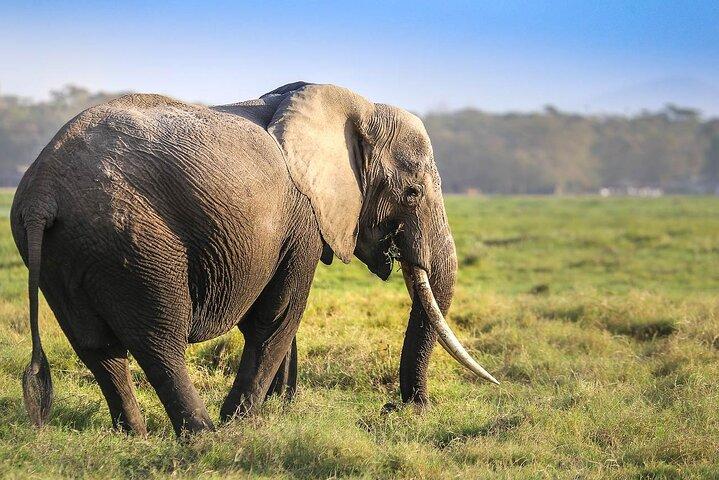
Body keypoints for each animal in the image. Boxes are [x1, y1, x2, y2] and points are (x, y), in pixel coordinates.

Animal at [11, 82, 498, 436]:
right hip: (131, 243)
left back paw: (134, 437)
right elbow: (277, 316)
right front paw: (244, 422)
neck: (356, 105)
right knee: (159, 339)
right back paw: (204, 435)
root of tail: (40, 193)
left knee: (96, 347)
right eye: (413, 193)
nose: (400, 408)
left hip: (67, 253)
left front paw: (277, 411)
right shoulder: (302, 217)